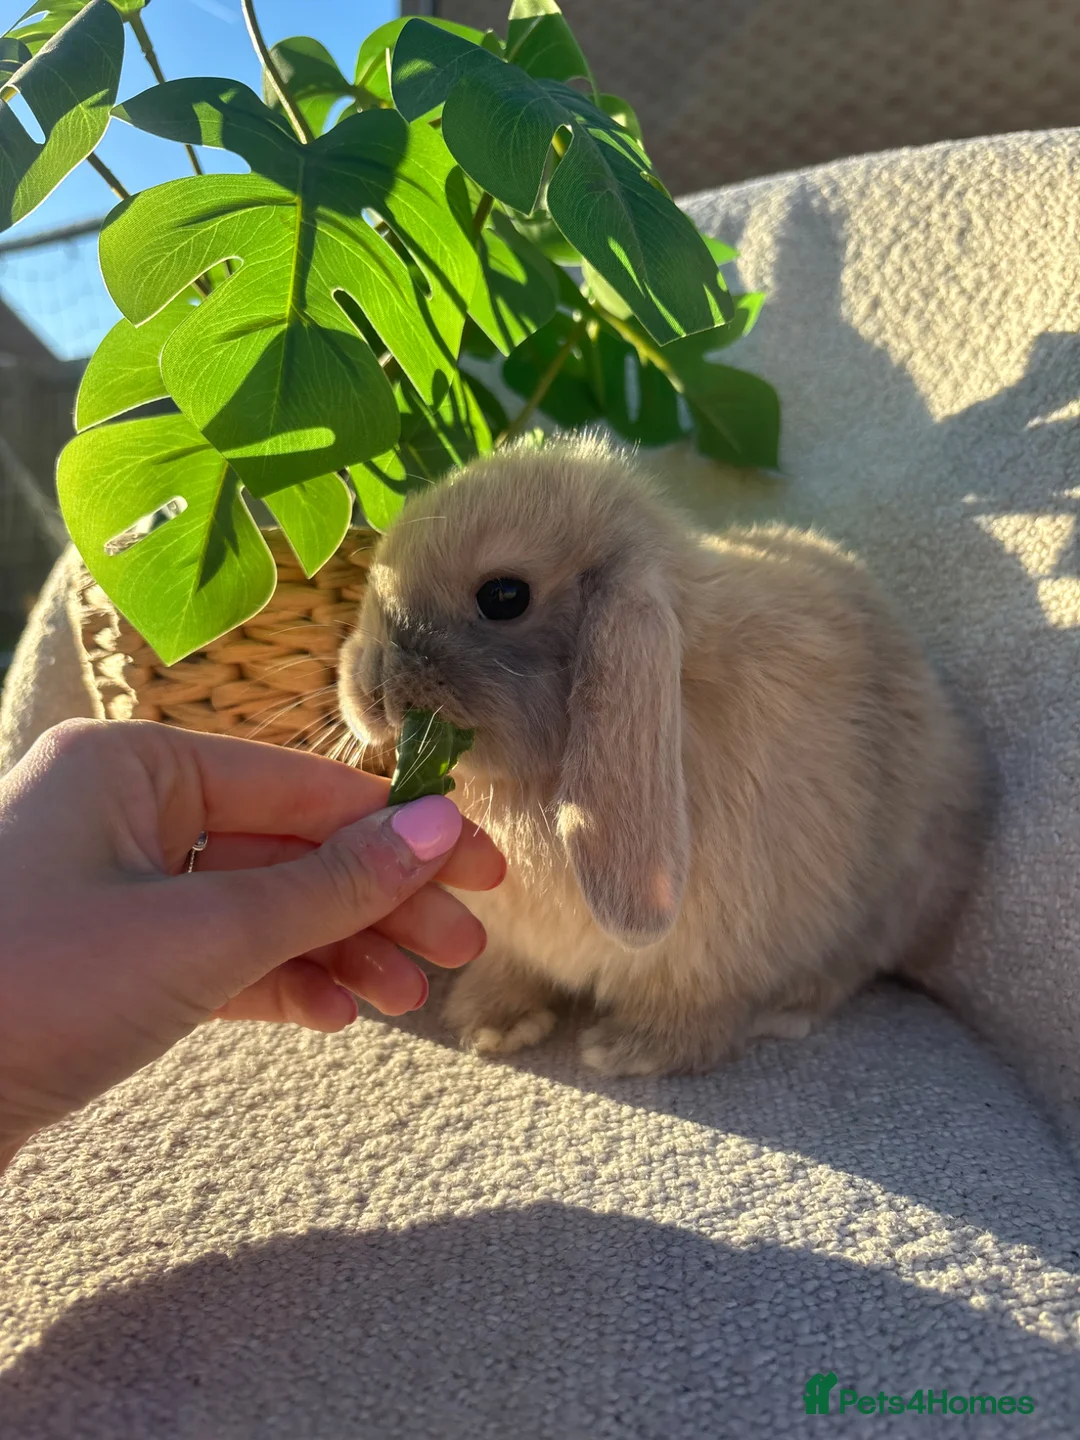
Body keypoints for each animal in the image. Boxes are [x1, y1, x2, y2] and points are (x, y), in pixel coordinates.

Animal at [338, 435, 985, 1076]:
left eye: (503, 596)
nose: (368, 682)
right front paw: (490, 1024)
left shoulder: (713, 956)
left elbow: (695, 1013)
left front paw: (626, 1050)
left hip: (896, 890)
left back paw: (788, 1011)